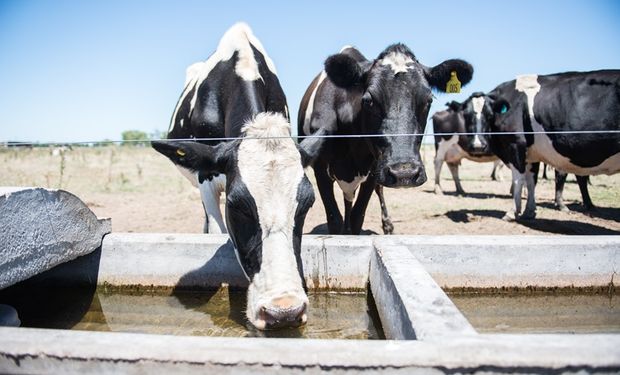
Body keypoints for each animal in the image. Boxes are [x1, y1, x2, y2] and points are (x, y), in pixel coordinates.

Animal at [298, 44, 472, 235]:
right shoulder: (320, 169)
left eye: (429, 100)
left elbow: (358, 216)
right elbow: (334, 220)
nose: (405, 174)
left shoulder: (374, 170)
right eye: (368, 100)